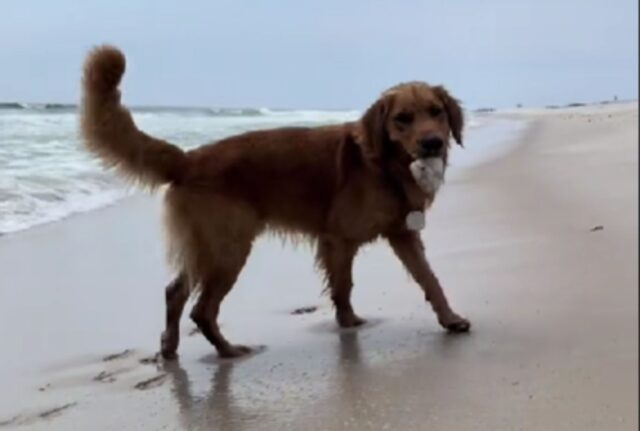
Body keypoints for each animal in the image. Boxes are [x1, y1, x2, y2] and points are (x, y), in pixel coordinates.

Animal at [80, 46, 470, 362]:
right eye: (402, 119)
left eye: (436, 111)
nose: (433, 143)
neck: (383, 165)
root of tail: (188, 159)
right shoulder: (339, 240)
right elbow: (344, 287)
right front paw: (348, 323)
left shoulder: (403, 234)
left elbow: (430, 279)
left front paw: (449, 318)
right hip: (228, 249)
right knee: (201, 310)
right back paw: (228, 351)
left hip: (207, 248)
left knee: (175, 293)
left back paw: (170, 347)